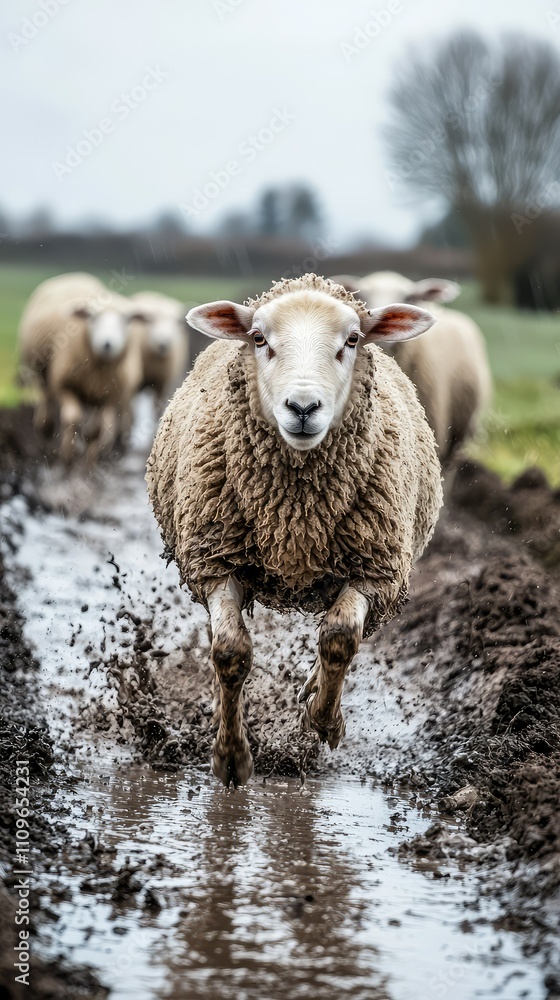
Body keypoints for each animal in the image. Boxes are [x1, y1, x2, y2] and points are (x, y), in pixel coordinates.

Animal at [18, 272, 142, 464]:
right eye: (93, 317)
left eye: (126, 319)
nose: (108, 344)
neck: (100, 366)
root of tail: (73, 276)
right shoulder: (66, 385)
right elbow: (72, 419)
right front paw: (68, 457)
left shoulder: (108, 395)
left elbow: (95, 431)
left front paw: (88, 463)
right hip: (43, 373)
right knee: (47, 406)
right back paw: (48, 441)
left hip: (93, 393)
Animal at [146, 273, 443, 787]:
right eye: (258, 338)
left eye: (352, 339)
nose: (303, 407)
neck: (296, 516)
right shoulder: (216, 562)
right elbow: (229, 651)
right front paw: (231, 757)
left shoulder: (375, 570)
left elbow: (340, 638)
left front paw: (323, 721)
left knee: (342, 633)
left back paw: (312, 694)